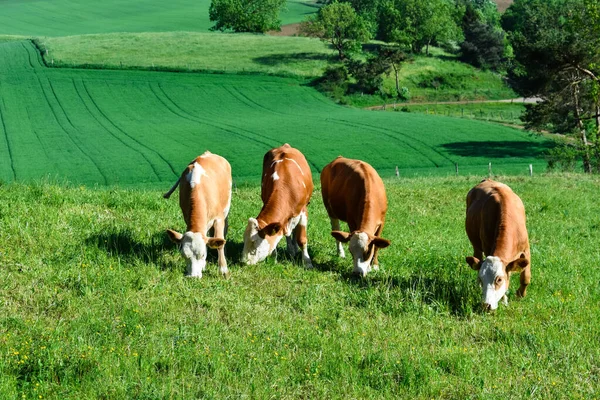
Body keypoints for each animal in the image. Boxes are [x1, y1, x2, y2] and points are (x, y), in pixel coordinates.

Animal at [464, 179, 528, 312]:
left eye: (499, 279)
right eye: (481, 278)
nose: (485, 305)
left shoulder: (525, 248)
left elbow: (525, 277)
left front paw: (521, 294)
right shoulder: (487, 247)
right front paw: (504, 300)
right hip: (476, 245)